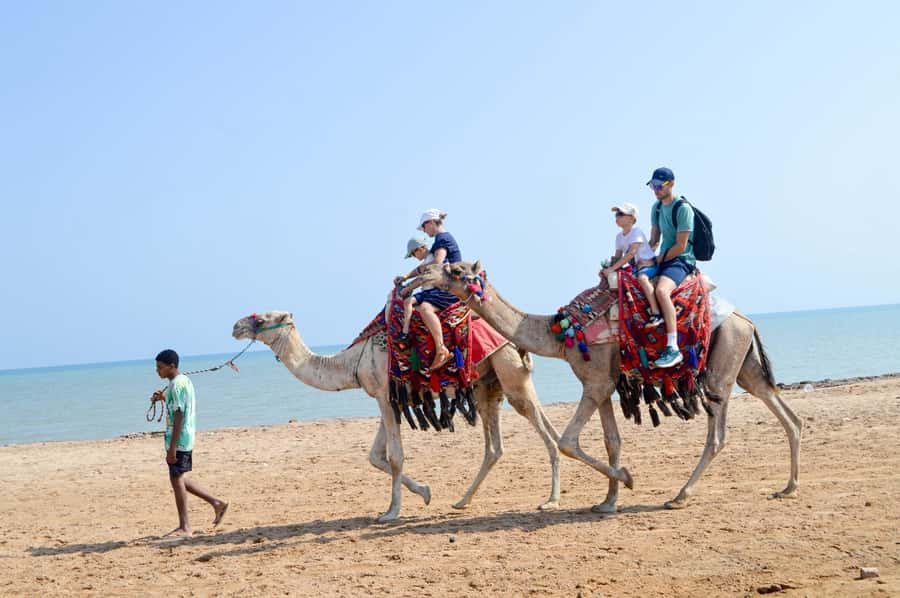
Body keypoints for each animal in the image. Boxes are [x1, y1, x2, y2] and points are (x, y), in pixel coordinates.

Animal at [232, 310, 561, 522]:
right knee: (502, 443)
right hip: (488, 383)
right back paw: (461, 501)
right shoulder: (387, 399)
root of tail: (513, 340)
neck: (353, 361)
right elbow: (375, 456)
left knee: (540, 428)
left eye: (261, 319)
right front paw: (425, 493)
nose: (236, 326)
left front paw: (391, 513)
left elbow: (394, 457)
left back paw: (551, 500)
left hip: (507, 372)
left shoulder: (383, 396)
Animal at [410, 261, 802, 513]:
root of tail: (746, 320)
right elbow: (612, 440)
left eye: (455, 270)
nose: (417, 274)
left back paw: (680, 495)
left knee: (717, 435)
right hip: (744, 363)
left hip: (721, 365)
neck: (560, 333)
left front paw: (627, 479)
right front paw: (608, 501)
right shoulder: (601, 383)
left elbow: (568, 442)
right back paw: (788, 487)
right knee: (785, 412)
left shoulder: (597, 381)